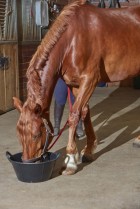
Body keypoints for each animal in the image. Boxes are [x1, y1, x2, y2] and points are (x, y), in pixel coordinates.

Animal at [13, 0, 140, 175]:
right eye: (19, 134)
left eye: (37, 134)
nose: (28, 163)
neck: (71, 41)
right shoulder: (74, 84)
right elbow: (85, 112)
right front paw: (89, 150)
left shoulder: (90, 80)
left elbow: (74, 115)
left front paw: (71, 160)